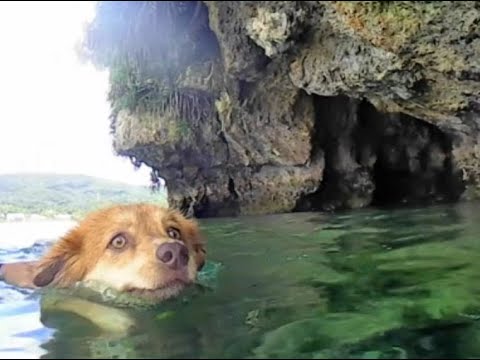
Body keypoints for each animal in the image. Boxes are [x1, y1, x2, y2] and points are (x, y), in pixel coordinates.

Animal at [0, 204, 206, 334]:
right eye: (118, 241)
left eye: (174, 233)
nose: (177, 252)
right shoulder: (51, 296)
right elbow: (78, 303)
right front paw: (119, 321)